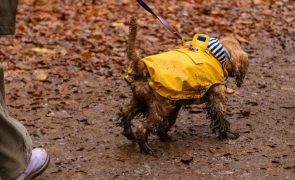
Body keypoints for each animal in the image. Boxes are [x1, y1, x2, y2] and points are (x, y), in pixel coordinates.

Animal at [117, 17, 250, 153]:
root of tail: (141, 65)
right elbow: (221, 117)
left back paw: (130, 134)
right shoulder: (216, 98)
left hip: (140, 100)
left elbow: (169, 122)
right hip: (159, 107)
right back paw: (146, 148)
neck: (215, 56)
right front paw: (227, 134)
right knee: (142, 127)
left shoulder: (175, 104)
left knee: (125, 113)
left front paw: (163, 135)